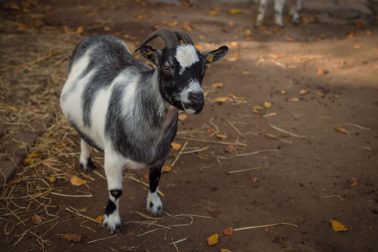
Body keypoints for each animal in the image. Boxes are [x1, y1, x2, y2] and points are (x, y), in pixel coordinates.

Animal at [60, 28, 229, 233]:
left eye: (204, 68)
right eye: (167, 66)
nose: (196, 99)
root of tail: (98, 36)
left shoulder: (161, 156)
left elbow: (155, 180)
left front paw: (154, 206)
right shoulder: (113, 158)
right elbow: (116, 192)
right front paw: (111, 220)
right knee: (82, 134)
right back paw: (85, 162)